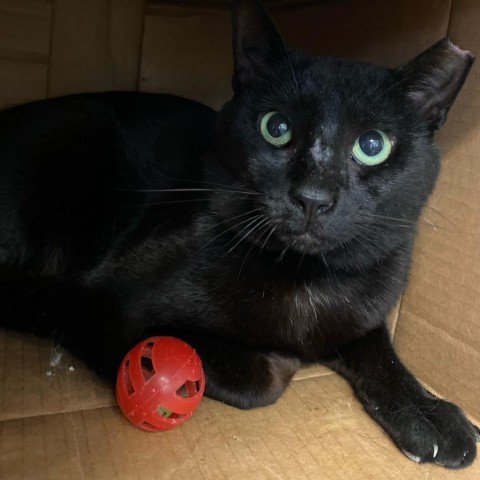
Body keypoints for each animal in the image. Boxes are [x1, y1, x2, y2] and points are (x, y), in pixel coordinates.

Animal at [0, 0, 478, 470]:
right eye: (276, 127)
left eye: (373, 145)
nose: (312, 197)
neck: (306, 277)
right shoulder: (109, 299)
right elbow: (260, 379)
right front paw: (284, 359)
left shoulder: (363, 310)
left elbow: (378, 347)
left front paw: (429, 414)